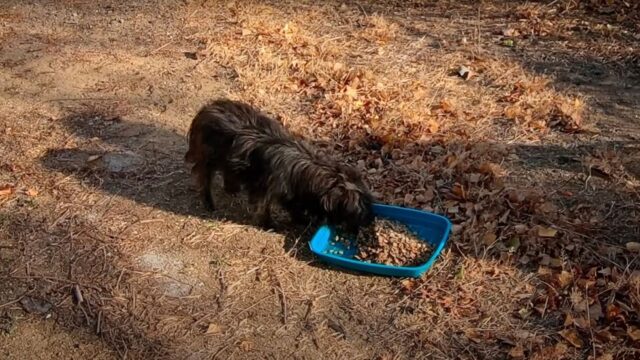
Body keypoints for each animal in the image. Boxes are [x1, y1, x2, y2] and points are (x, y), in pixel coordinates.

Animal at [185, 98, 376, 231]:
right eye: (358, 212)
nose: (369, 222)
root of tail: (206, 110)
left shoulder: (291, 191)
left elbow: (294, 205)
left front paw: (302, 219)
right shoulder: (265, 189)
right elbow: (263, 207)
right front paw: (269, 224)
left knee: (228, 172)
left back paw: (232, 189)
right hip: (208, 157)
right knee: (203, 177)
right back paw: (209, 202)